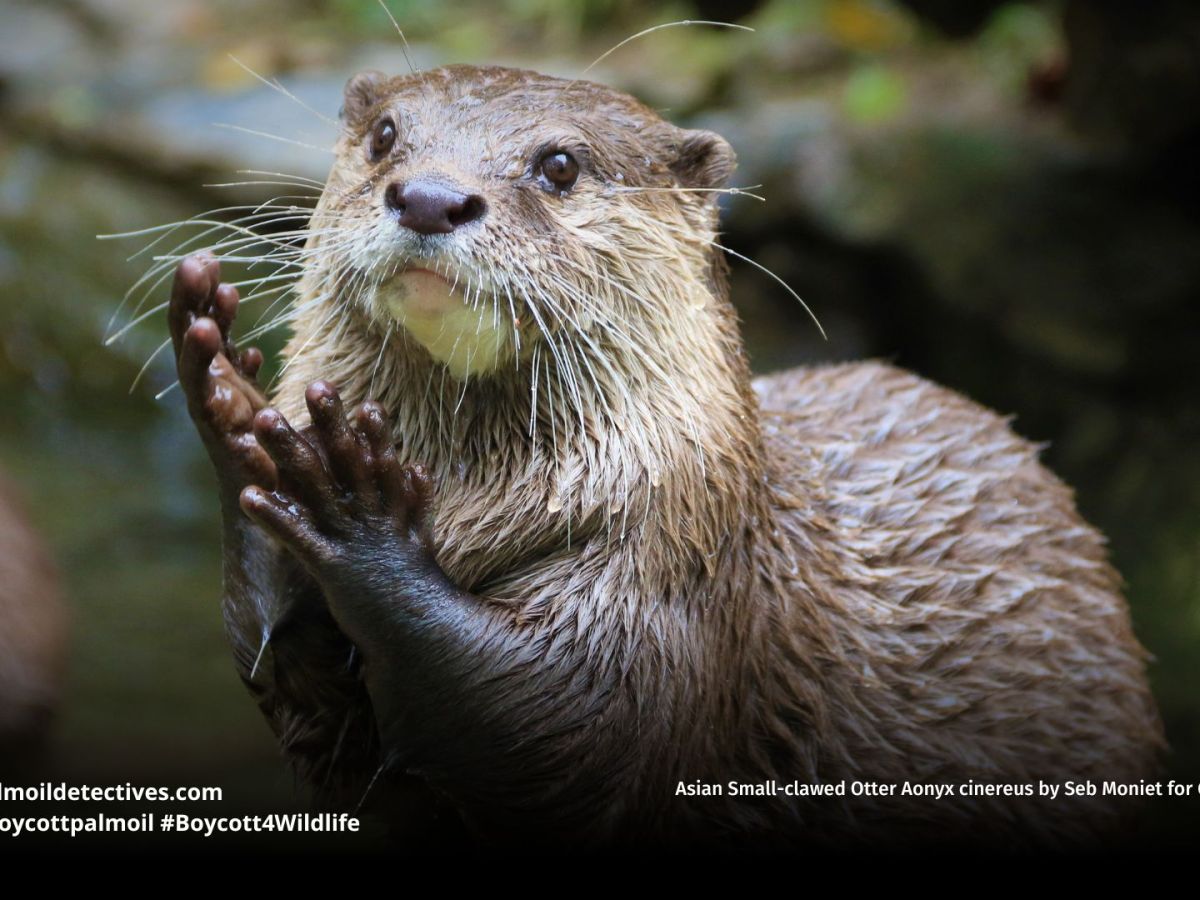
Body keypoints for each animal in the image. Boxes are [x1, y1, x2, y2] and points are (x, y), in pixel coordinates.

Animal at [164, 64, 1162, 848]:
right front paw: (232, 405)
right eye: (384, 135)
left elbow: (560, 729)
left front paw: (361, 521)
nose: (430, 196)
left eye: (559, 165)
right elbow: (309, 713)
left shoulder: (674, 568)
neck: (465, 502)